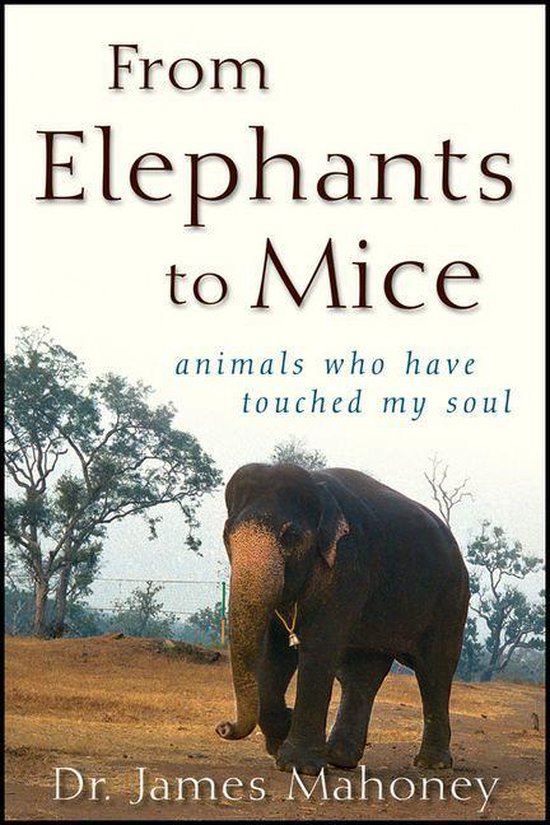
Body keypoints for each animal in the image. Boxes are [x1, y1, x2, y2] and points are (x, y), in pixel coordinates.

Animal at [215, 462, 469, 775]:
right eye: (227, 534)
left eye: (290, 536)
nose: (224, 727)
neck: (317, 488)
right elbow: (275, 654)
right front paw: (282, 738)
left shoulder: (347, 568)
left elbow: (319, 649)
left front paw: (299, 765)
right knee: (361, 673)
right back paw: (339, 758)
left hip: (451, 600)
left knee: (434, 670)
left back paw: (432, 764)